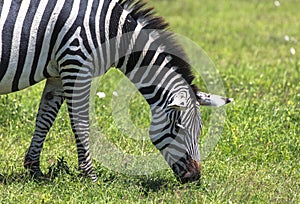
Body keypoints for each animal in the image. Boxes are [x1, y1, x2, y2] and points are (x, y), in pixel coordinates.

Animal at [0, 0, 232, 183]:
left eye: (199, 130)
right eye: (178, 128)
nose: (194, 177)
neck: (114, 31)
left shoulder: (58, 72)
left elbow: (45, 119)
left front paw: (34, 170)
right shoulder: (75, 63)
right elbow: (81, 124)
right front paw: (90, 177)